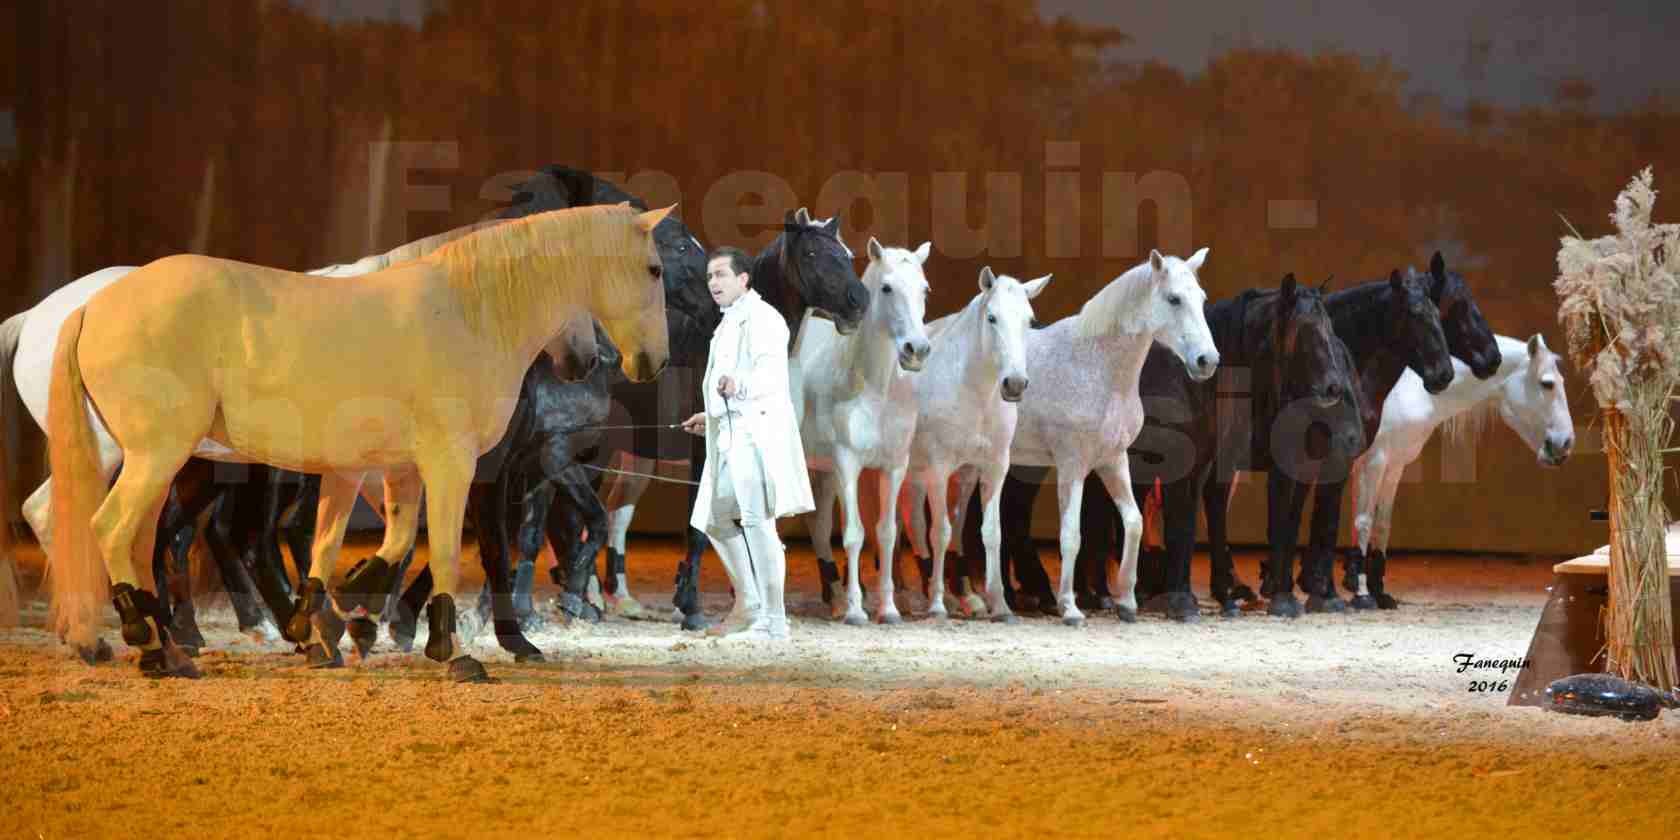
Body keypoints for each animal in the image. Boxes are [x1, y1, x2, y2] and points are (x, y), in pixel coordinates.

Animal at [42, 204, 668, 682]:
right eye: (656, 269)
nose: (644, 362)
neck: (467, 312)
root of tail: (93, 306)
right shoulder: (455, 463)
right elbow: (446, 550)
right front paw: (451, 652)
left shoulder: (396, 467)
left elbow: (379, 544)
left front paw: (344, 611)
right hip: (160, 455)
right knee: (111, 529)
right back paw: (144, 640)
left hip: (161, 462)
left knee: (143, 541)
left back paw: (166, 646)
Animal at [796, 236, 934, 624]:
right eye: (886, 288)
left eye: (924, 289)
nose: (916, 350)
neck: (874, 389)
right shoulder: (847, 464)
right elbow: (855, 534)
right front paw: (857, 610)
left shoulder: (893, 467)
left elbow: (886, 534)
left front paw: (888, 609)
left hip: (821, 471)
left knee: (818, 525)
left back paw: (834, 598)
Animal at [900, 265, 1041, 621]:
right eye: (992, 318)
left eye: (1029, 320)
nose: (1015, 383)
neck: (974, 393)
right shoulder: (938, 468)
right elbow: (941, 532)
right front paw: (937, 604)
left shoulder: (989, 469)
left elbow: (989, 533)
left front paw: (999, 604)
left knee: (915, 522)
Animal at [994, 248, 1223, 624]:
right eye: (1174, 299)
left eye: (1202, 299)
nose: (1207, 360)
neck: (1096, 365)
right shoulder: (1072, 465)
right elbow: (1072, 535)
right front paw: (1070, 607)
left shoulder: (1113, 460)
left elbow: (1134, 522)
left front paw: (1127, 602)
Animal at [1337, 336, 1572, 611]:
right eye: (1548, 384)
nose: (1565, 443)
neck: (1410, 390)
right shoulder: (1374, 462)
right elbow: (1364, 522)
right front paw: (1362, 594)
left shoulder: (1394, 464)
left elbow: (1382, 524)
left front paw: (1378, 592)